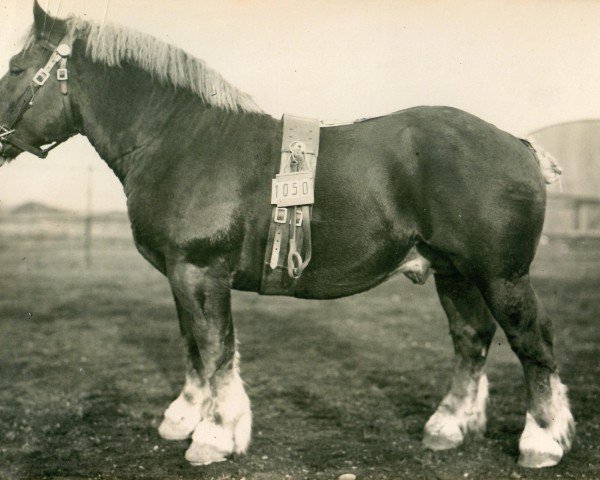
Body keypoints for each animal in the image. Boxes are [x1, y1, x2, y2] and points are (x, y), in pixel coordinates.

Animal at [0, 0, 576, 468]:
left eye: (17, 68)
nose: (0, 139)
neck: (179, 139)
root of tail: (519, 145)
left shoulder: (200, 271)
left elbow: (215, 350)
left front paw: (214, 435)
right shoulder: (180, 274)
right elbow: (193, 346)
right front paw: (183, 418)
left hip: (502, 276)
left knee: (533, 342)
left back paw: (542, 441)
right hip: (454, 273)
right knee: (472, 340)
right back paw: (449, 425)